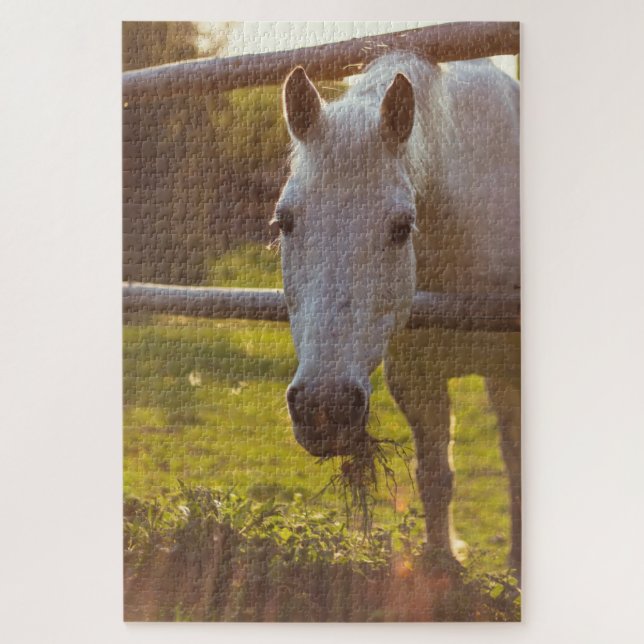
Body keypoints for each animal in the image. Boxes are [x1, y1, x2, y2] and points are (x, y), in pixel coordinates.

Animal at [273, 51, 520, 573]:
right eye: (284, 221)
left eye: (403, 226)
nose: (324, 408)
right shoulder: (415, 378)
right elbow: (435, 477)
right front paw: (442, 565)